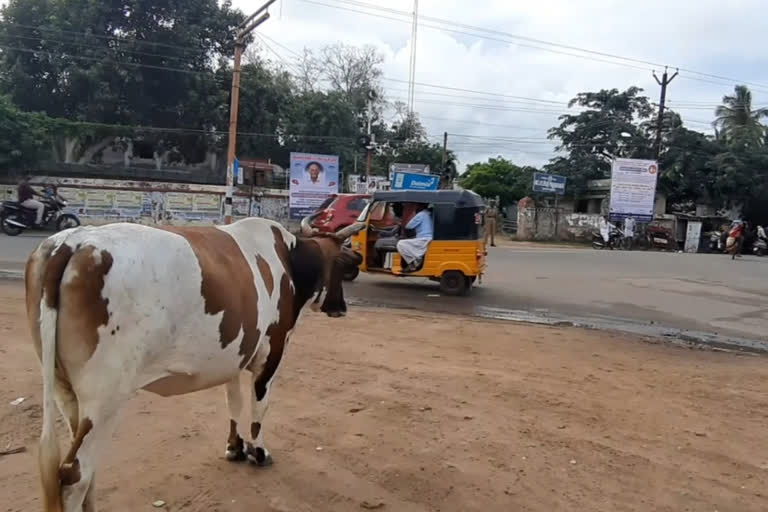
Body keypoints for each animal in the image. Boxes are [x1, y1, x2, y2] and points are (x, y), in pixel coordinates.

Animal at [23, 218, 360, 510]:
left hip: (66, 392)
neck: (288, 261)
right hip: (106, 398)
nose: (341, 307)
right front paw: (258, 452)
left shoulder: (235, 352)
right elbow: (258, 407)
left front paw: (235, 447)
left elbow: (234, 402)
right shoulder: (272, 352)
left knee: (84, 470)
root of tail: (72, 242)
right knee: (74, 476)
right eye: (340, 267)